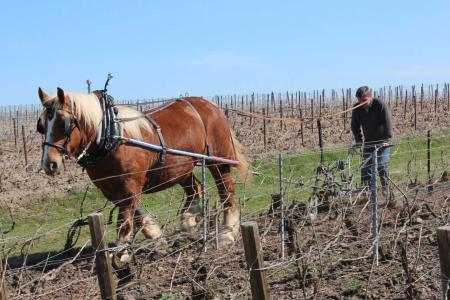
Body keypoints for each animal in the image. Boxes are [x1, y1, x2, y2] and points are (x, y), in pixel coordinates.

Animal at [37, 87, 250, 258]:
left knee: (226, 191)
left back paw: (228, 231)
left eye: (64, 123)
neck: (110, 136)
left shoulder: (130, 186)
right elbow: (136, 216)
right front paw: (156, 237)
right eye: (41, 126)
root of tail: (210, 105)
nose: (50, 163)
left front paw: (121, 254)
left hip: (217, 161)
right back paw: (189, 220)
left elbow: (124, 222)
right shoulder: (110, 189)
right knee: (194, 188)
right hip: (181, 167)